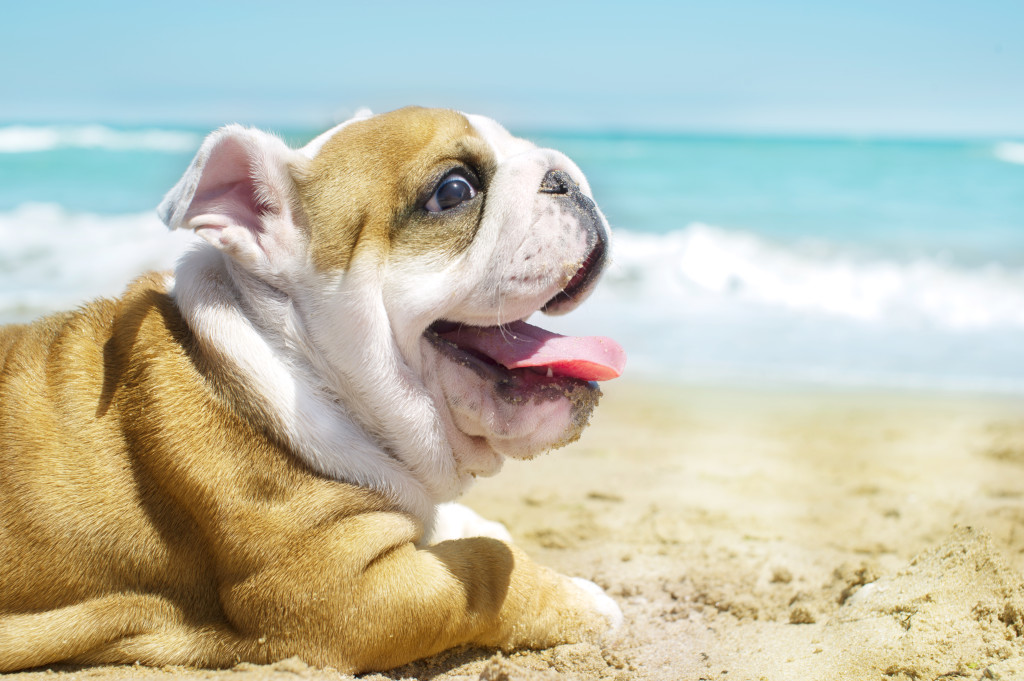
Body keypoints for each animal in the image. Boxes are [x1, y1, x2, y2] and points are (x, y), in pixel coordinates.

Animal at [0, 109, 622, 671]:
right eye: (453, 191)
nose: (565, 178)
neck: (290, 357)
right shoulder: (343, 591)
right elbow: (487, 570)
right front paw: (583, 601)